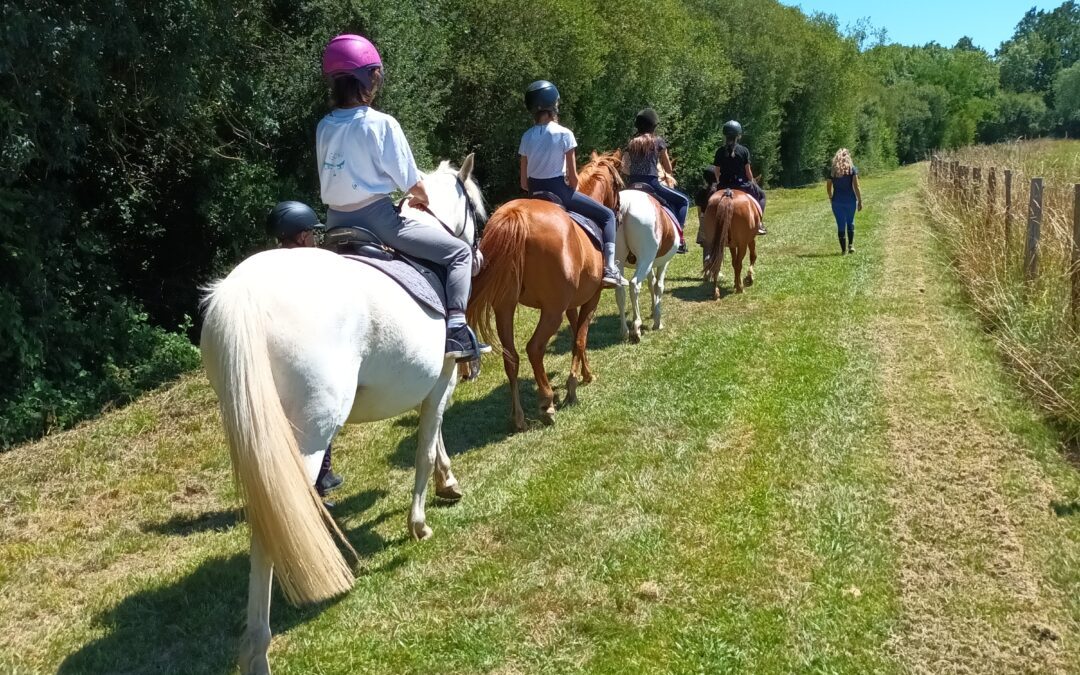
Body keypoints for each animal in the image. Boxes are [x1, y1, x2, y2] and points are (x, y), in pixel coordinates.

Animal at [201, 154, 486, 673]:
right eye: (476, 209)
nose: (476, 258)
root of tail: (241, 295)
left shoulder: (431, 387)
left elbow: (433, 437)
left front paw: (447, 482)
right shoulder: (442, 380)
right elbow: (423, 446)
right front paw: (419, 522)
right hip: (304, 440)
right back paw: (260, 645)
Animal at [464, 150, 626, 429]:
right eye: (620, 185)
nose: (618, 214)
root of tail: (516, 215)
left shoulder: (572, 303)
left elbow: (574, 336)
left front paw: (584, 374)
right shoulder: (590, 299)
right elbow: (581, 338)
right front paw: (573, 386)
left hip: (504, 307)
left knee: (511, 357)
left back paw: (518, 417)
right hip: (551, 311)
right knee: (534, 348)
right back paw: (547, 403)